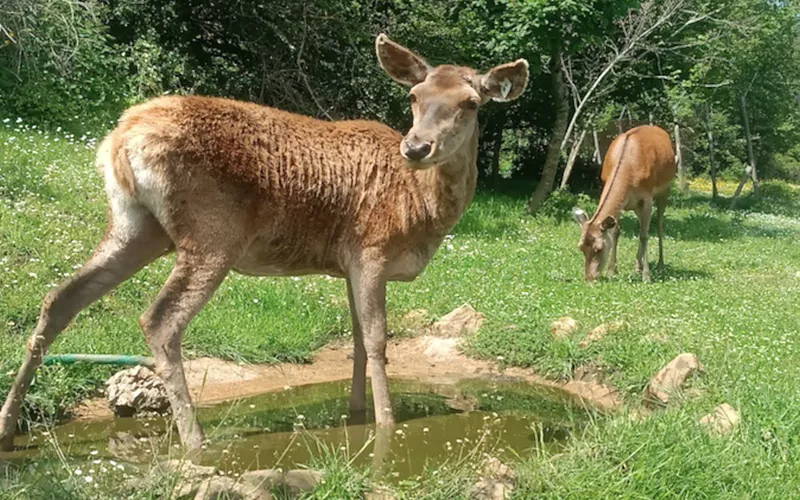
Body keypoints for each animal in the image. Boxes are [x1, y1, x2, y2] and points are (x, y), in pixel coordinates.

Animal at [0, 33, 528, 452]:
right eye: (415, 96)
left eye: (471, 102)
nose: (416, 147)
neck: (423, 210)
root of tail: (119, 140)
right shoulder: (370, 248)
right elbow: (378, 340)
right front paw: (386, 426)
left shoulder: (347, 264)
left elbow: (357, 340)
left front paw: (356, 415)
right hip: (211, 232)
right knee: (159, 321)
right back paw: (196, 441)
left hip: (136, 227)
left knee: (60, 298)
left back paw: (8, 426)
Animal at [572, 125, 680, 282]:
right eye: (580, 247)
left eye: (599, 248)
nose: (589, 278)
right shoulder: (623, 203)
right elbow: (616, 231)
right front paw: (612, 271)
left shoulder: (647, 197)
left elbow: (644, 235)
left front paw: (647, 277)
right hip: (636, 206)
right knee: (642, 225)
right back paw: (637, 266)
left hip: (665, 190)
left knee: (659, 225)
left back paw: (660, 264)